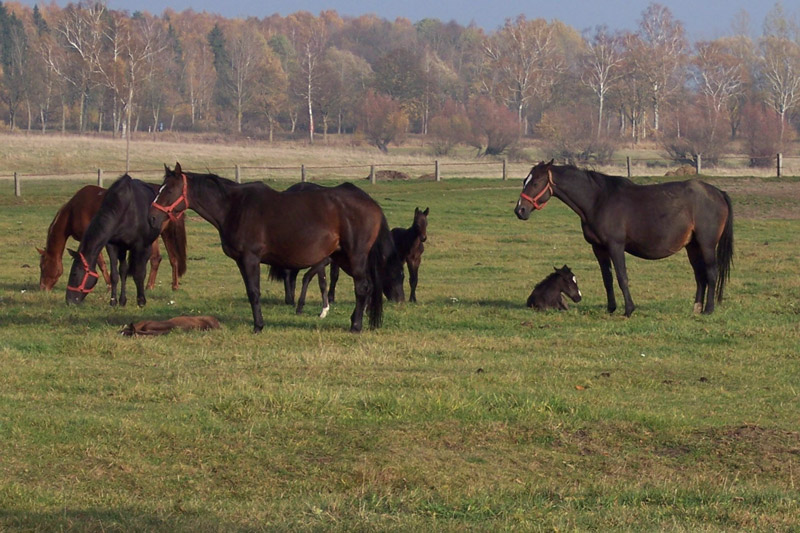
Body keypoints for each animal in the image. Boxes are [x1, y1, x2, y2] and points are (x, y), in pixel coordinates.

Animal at [39, 183, 188, 290]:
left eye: (42, 266)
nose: (42, 287)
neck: (74, 211)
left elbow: (100, 263)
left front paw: (109, 284)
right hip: (164, 234)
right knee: (172, 259)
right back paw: (173, 285)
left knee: (157, 258)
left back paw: (149, 286)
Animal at [65, 175, 188, 308]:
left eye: (74, 274)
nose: (69, 301)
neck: (125, 209)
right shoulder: (114, 245)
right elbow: (116, 274)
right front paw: (115, 301)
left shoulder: (141, 246)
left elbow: (139, 273)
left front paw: (141, 300)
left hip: (161, 238)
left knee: (163, 261)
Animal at [148, 161, 406, 332]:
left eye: (168, 190)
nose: (152, 218)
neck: (234, 207)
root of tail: (371, 203)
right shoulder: (242, 262)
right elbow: (251, 291)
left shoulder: (250, 258)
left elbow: (254, 292)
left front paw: (258, 326)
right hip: (342, 257)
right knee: (367, 287)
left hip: (355, 256)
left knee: (362, 288)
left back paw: (356, 326)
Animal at [516, 160, 736, 314]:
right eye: (525, 181)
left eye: (536, 182)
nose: (520, 210)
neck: (599, 200)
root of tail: (718, 192)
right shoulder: (599, 248)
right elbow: (607, 279)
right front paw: (611, 308)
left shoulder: (616, 246)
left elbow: (622, 277)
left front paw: (629, 309)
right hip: (692, 246)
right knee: (699, 276)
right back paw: (697, 308)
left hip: (707, 245)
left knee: (711, 274)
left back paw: (708, 310)